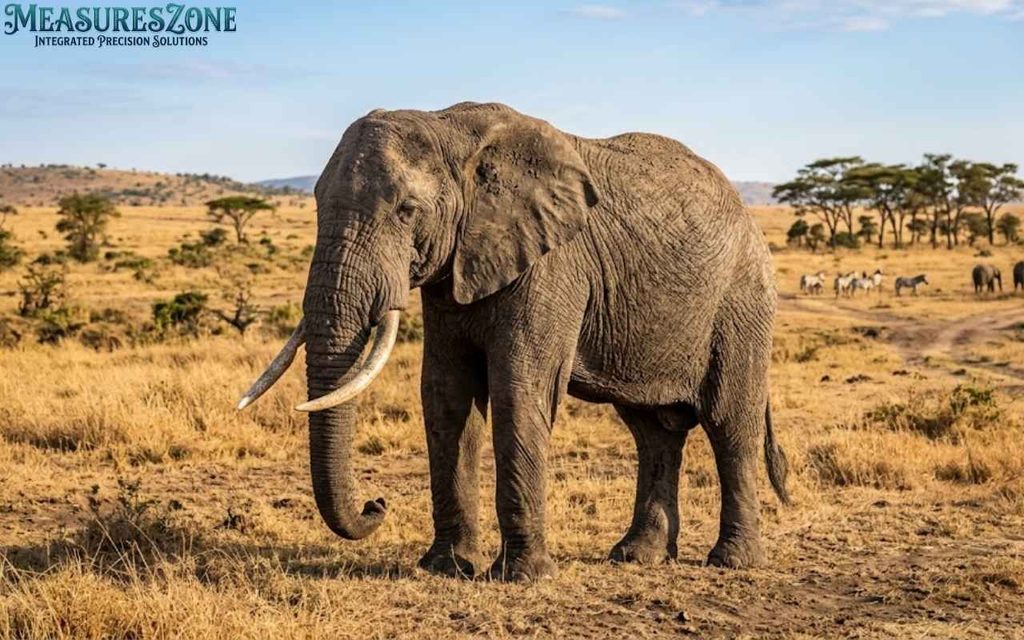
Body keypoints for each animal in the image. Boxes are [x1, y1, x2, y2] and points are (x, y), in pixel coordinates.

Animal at [238, 102, 789, 581]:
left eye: (407, 210)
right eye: (315, 205)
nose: (377, 503)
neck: (449, 128)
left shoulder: (552, 265)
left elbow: (518, 393)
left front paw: (522, 577)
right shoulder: (453, 270)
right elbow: (445, 396)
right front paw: (446, 568)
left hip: (741, 305)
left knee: (729, 424)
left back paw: (732, 562)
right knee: (653, 432)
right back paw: (636, 557)